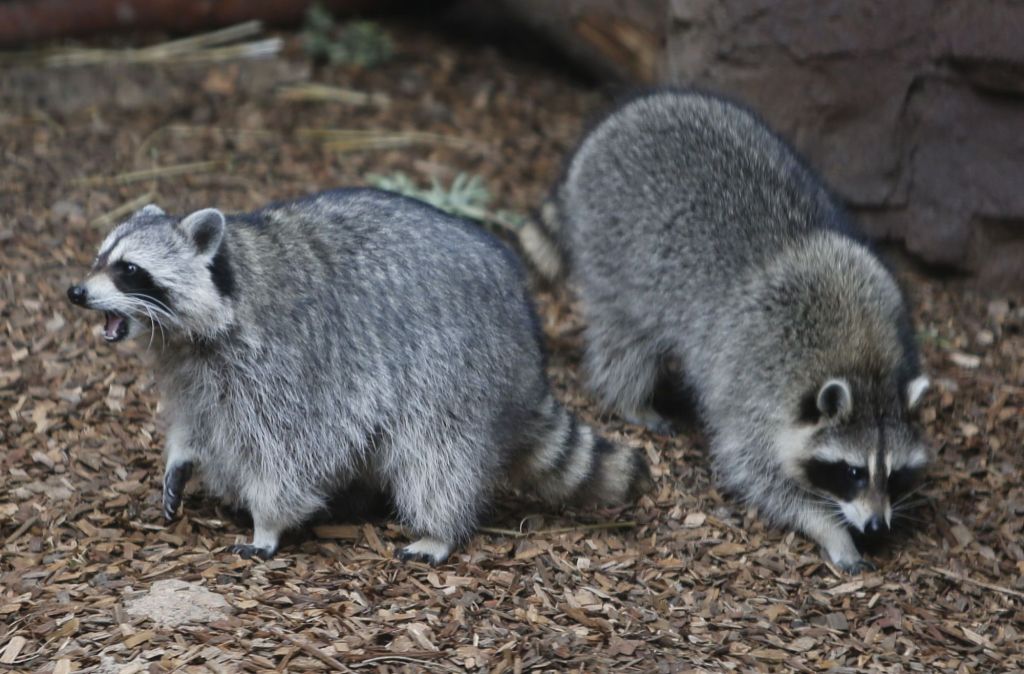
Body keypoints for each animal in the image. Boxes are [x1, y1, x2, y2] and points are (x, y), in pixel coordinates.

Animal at [67, 189, 650, 563]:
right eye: (100, 257)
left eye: (129, 270)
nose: (76, 292)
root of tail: (528, 345)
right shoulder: (190, 367)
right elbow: (197, 415)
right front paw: (181, 457)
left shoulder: (288, 362)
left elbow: (292, 451)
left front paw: (267, 521)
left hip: (458, 367)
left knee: (436, 455)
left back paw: (439, 529)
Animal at [520, 90, 931, 572]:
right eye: (852, 472)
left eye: (894, 474)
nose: (876, 525)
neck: (864, 364)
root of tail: (609, 130)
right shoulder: (754, 384)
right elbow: (755, 471)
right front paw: (828, 526)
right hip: (614, 248)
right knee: (626, 338)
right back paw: (630, 398)